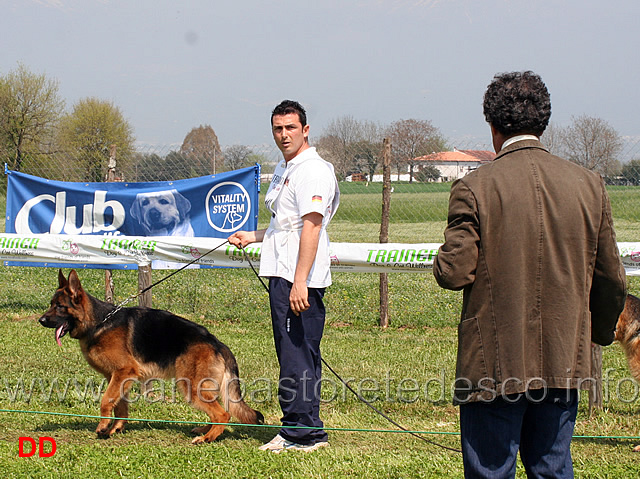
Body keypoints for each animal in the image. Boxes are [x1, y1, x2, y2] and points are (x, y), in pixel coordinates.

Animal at [38, 270, 264, 446]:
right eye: (51, 304)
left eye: (60, 306)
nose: (40, 320)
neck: (98, 322)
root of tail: (218, 343)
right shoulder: (118, 377)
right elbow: (120, 405)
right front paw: (115, 428)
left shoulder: (124, 371)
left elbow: (106, 400)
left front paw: (103, 426)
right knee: (217, 411)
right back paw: (204, 430)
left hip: (190, 386)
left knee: (223, 414)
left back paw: (207, 438)